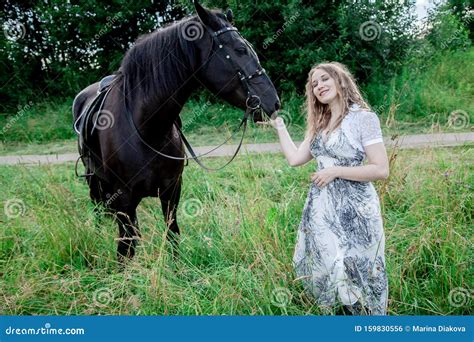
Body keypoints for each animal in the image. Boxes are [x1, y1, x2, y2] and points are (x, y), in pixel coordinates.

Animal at [72, 2, 280, 262]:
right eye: (240, 49)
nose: (273, 102)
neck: (148, 129)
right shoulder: (124, 199)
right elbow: (126, 248)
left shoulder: (172, 191)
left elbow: (172, 233)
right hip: (94, 179)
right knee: (98, 209)